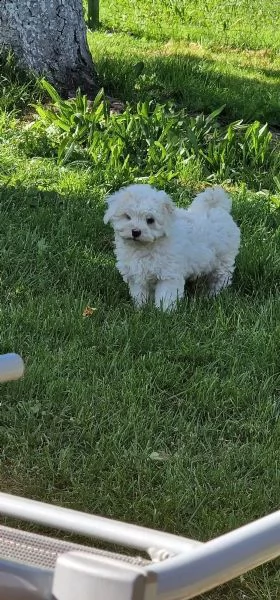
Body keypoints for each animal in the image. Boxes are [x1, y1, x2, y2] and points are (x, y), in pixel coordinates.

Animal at [104, 184, 240, 312]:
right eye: (127, 216)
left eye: (150, 220)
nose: (136, 232)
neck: (144, 247)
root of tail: (216, 208)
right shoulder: (136, 274)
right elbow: (139, 293)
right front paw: (141, 308)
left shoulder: (168, 275)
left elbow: (166, 295)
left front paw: (164, 312)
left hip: (224, 260)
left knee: (221, 278)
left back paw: (214, 295)